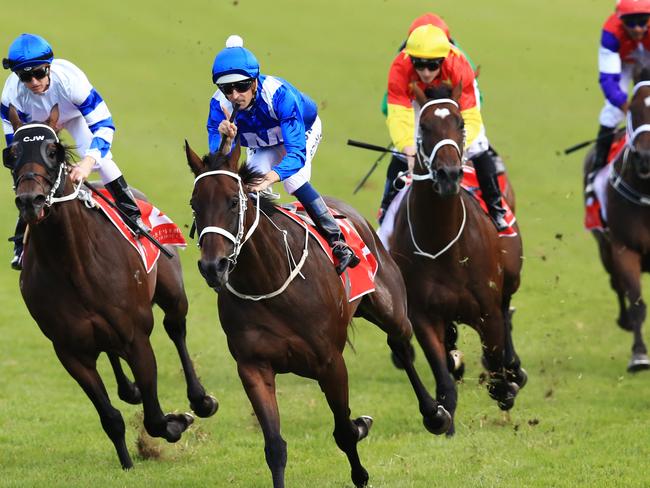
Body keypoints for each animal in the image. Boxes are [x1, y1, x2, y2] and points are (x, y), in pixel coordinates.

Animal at [4, 106, 218, 468]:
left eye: (53, 151)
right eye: (12, 153)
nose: (31, 200)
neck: (73, 264)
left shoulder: (136, 337)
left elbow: (154, 418)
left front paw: (178, 421)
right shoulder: (69, 351)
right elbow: (110, 417)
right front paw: (128, 462)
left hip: (172, 292)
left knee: (176, 328)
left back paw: (200, 399)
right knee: (112, 354)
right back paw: (130, 389)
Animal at [184, 138, 450, 488]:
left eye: (231, 202)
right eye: (194, 204)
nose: (213, 266)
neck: (268, 281)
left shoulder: (330, 363)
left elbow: (344, 432)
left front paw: (360, 468)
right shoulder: (253, 366)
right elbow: (275, 446)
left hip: (391, 309)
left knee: (402, 346)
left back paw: (436, 414)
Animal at [388, 84, 524, 434]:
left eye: (460, 124)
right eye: (424, 127)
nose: (448, 174)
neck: (443, 244)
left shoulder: (487, 311)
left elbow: (497, 359)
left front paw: (507, 384)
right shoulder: (424, 315)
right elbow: (442, 373)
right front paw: (441, 414)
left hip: (511, 276)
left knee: (506, 314)